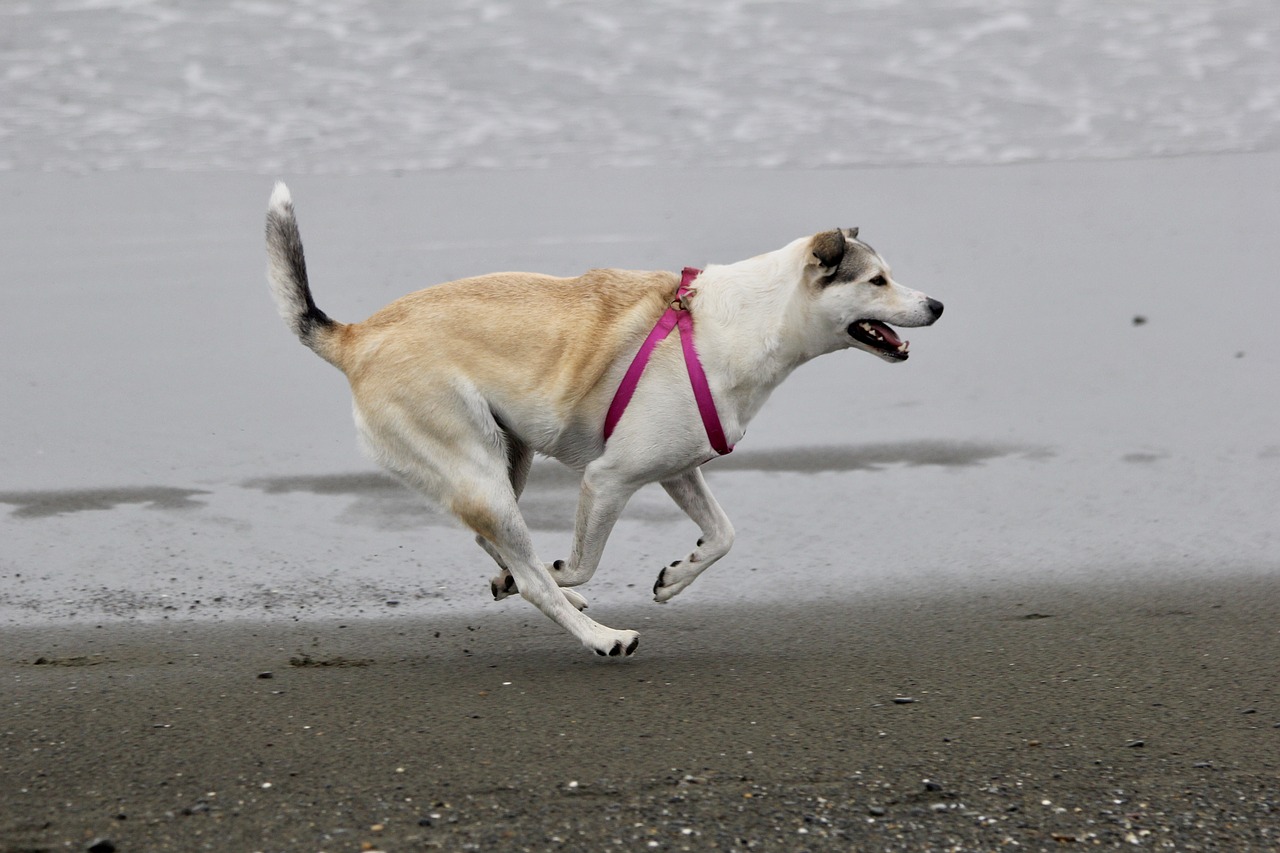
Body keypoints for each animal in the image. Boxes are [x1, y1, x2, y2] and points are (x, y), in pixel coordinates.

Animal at [262, 183, 942, 653]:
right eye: (877, 280)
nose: (937, 304)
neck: (743, 321)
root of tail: (355, 337)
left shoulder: (678, 470)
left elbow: (723, 535)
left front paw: (675, 578)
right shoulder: (608, 481)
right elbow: (582, 558)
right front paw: (571, 575)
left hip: (505, 464)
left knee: (495, 545)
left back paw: (532, 586)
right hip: (479, 472)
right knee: (531, 574)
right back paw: (599, 634)